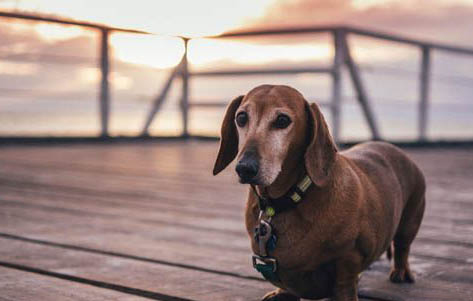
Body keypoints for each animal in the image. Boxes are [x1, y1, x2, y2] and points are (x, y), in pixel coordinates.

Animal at [212, 84, 426, 300]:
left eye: (282, 120)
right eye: (241, 117)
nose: (245, 168)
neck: (285, 201)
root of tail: (394, 148)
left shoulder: (348, 261)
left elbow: (345, 285)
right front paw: (280, 293)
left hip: (410, 220)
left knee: (402, 247)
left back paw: (401, 271)